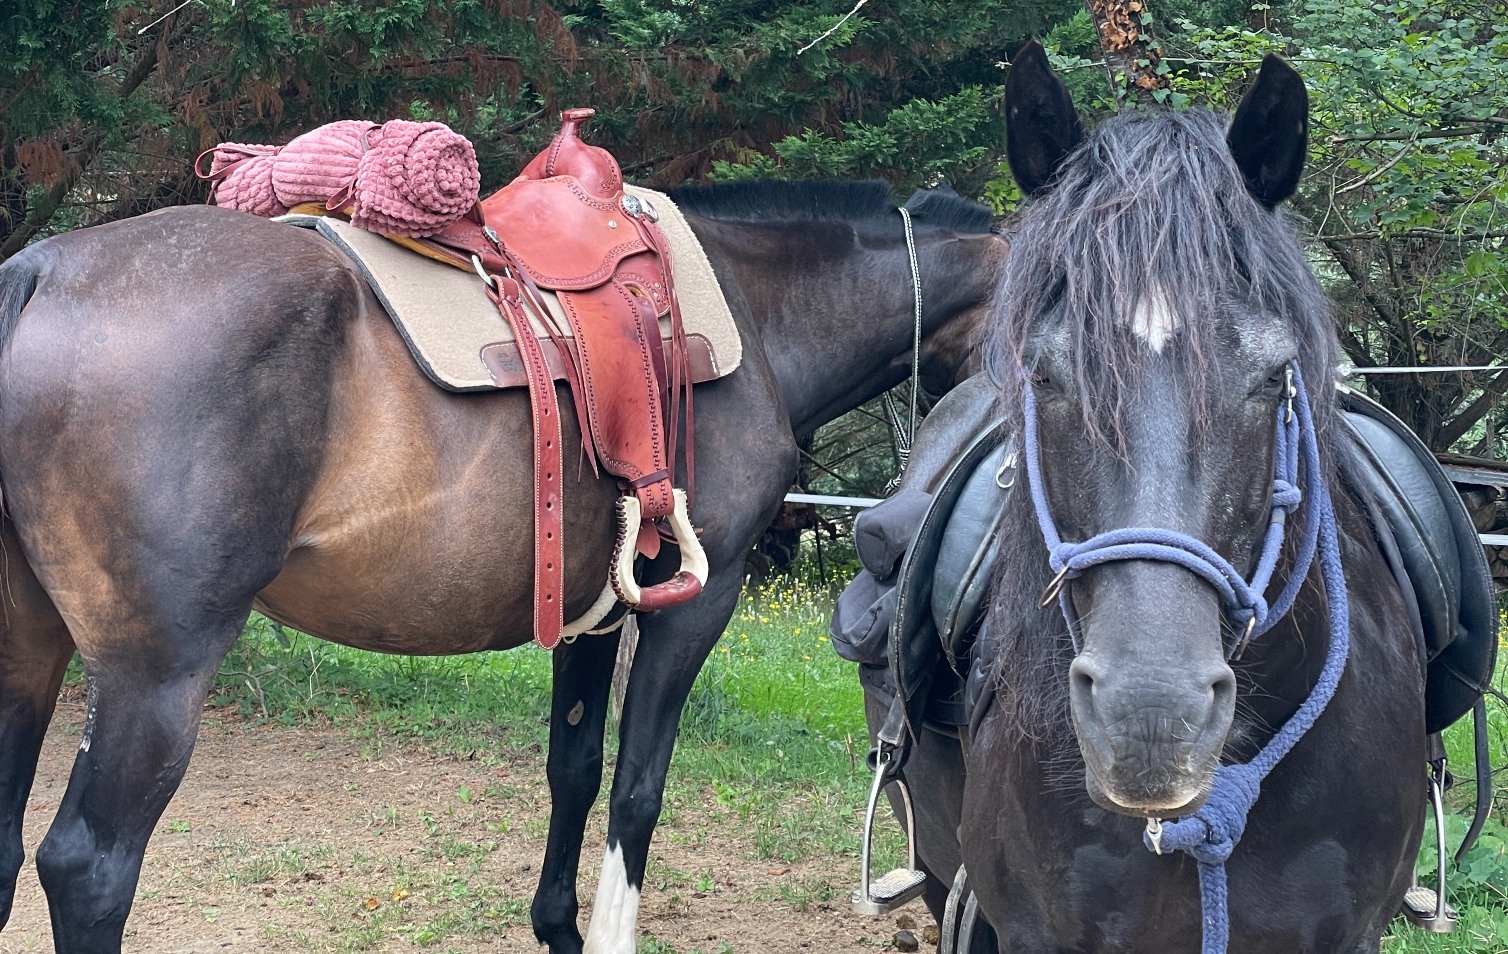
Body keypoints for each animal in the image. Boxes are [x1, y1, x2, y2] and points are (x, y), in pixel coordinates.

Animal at [0, 178, 1008, 954]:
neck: (757, 313)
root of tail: (40, 269)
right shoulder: (693, 603)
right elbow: (638, 790)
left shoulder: (596, 613)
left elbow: (575, 767)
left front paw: (557, 928)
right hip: (157, 674)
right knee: (88, 866)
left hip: (29, 657)